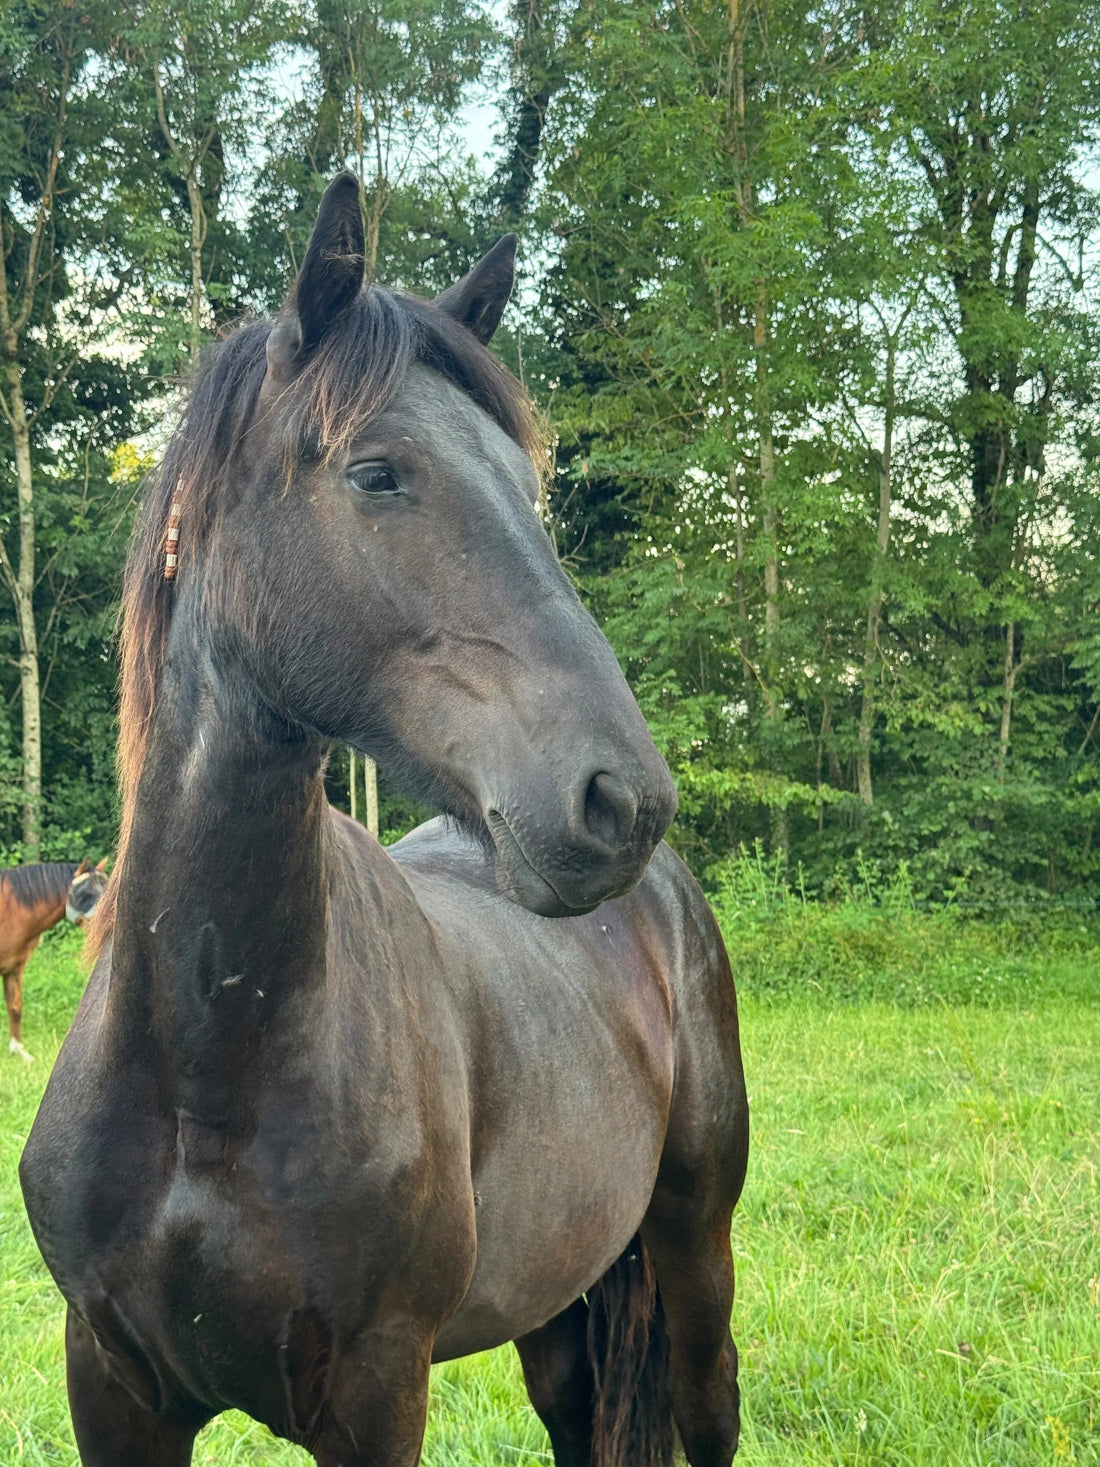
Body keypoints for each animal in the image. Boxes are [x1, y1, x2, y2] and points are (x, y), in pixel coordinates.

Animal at [20, 174, 749, 1467]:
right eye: (375, 474)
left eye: (526, 486)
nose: (621, 801)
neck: (203, 1071)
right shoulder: (111, 1388)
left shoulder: (373, 1391)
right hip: (557, 1312)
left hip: (693, 1253)